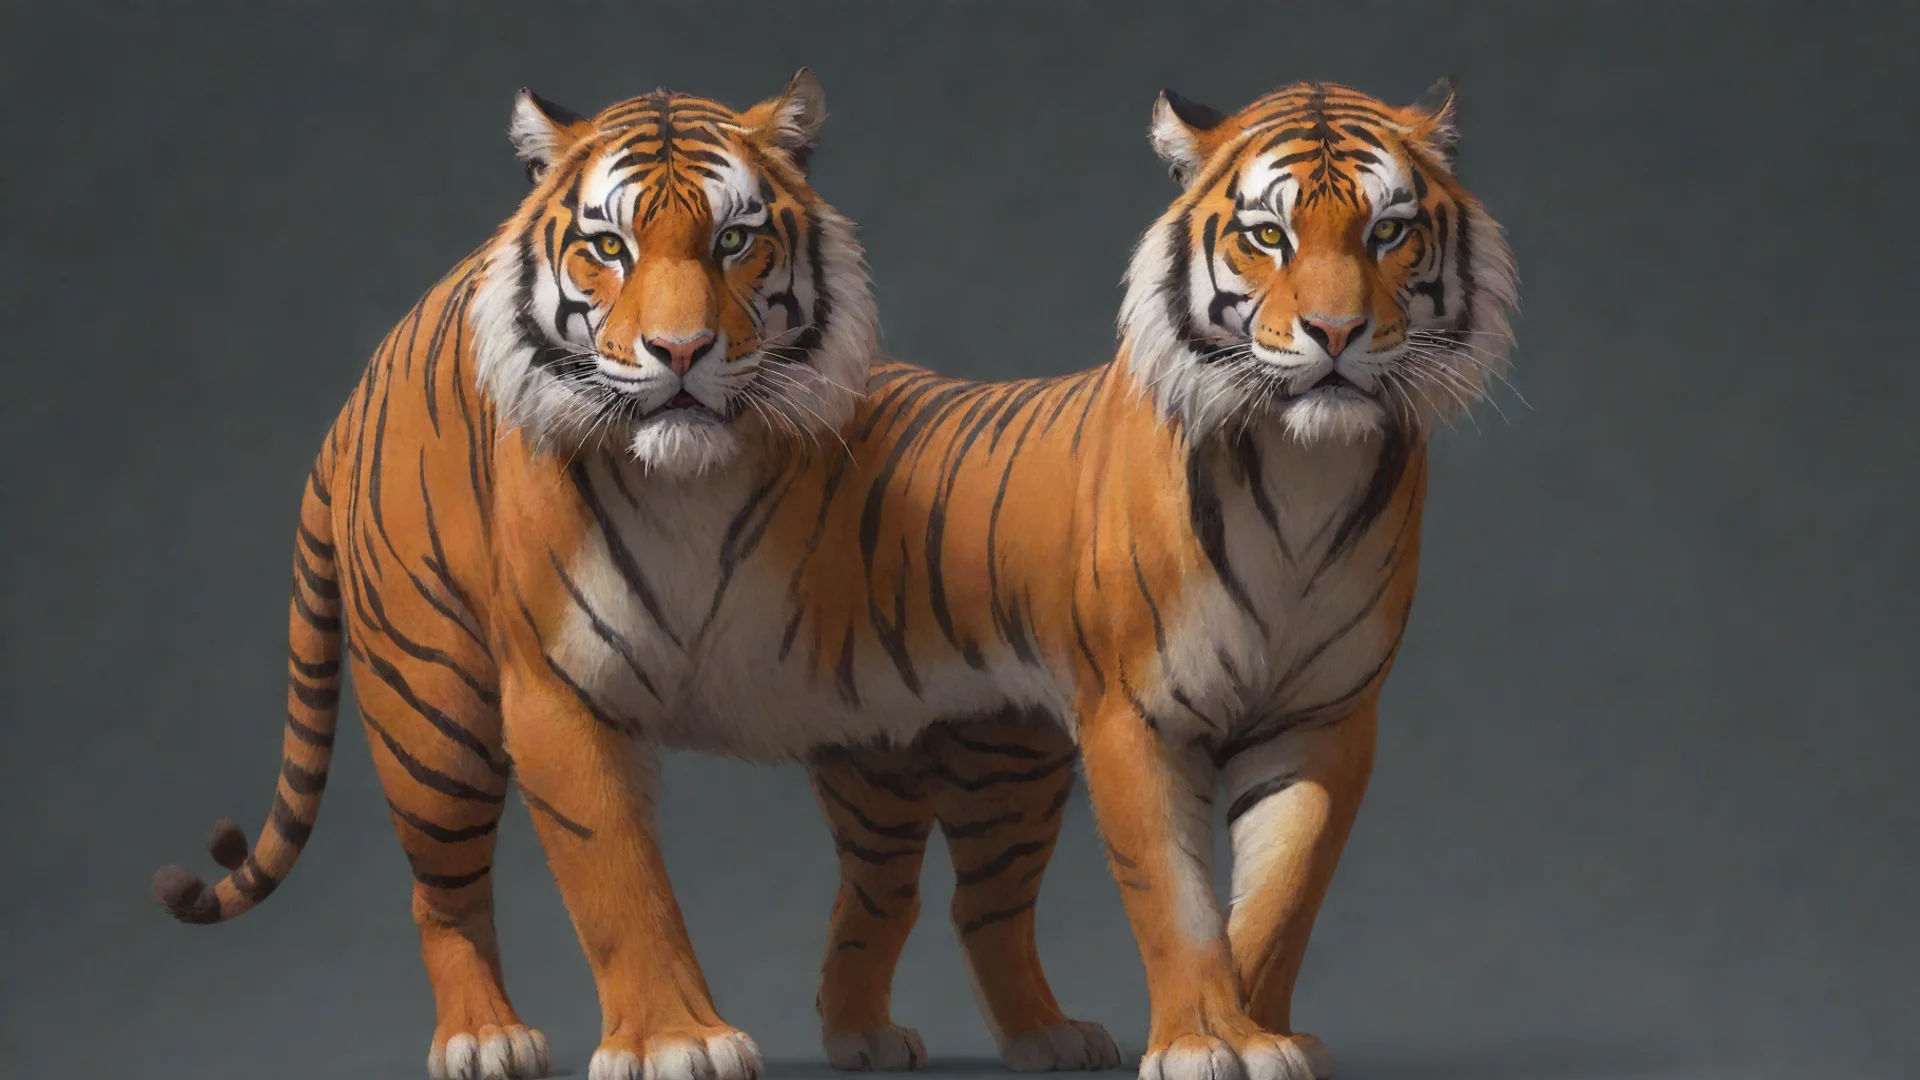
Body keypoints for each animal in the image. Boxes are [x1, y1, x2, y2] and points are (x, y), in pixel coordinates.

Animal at [152, 71, 1118, 1080]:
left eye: (733, 239)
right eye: (608, 248)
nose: (681, 351)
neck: (687, 482)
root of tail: (358, 394)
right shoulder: (559, 690)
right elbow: (619, 880)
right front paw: (676, 1039)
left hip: (946, 756)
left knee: (941, 892)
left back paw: (986, 1032)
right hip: (432, 709)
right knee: (442, 890)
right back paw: (483, 1036)